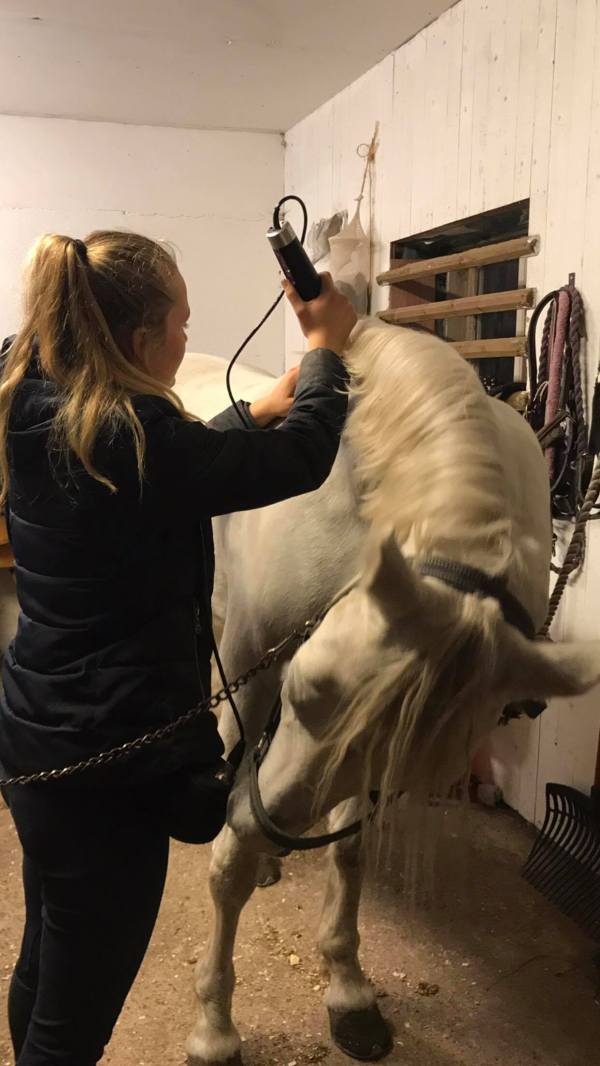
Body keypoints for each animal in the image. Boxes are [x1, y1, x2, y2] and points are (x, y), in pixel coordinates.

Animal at [176, 321, 600, 1065]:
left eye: (412, 760)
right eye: (305, 690)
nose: (266, 829)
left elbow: (347, 850)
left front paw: (350, 993)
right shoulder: (259, 663)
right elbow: (229, 863)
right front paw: (215, 1029)